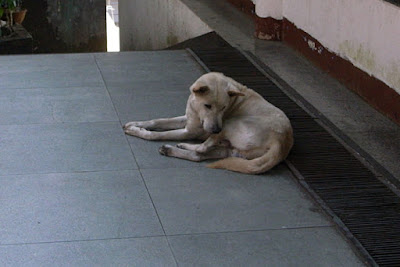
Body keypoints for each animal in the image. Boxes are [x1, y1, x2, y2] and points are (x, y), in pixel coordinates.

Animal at [124, 72, 294, 175]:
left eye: (224, 107)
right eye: (207, 106)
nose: (216, 129)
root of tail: (281, 144)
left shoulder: (190, 131)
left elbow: (159, 135)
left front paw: (138, 131)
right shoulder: (189, 119)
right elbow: (158, 121)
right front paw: (136, 124)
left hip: (231, 123)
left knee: (202, 148)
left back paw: (182, 146)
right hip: (233, 151)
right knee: (199, 155)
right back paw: (171, 150)